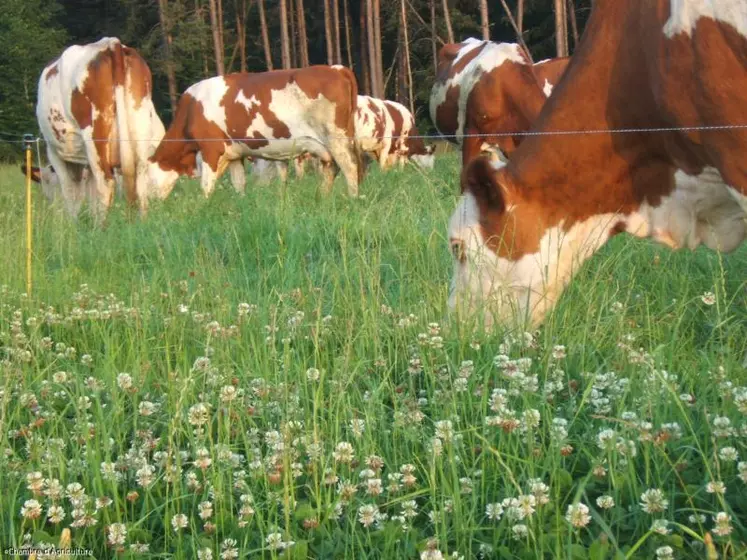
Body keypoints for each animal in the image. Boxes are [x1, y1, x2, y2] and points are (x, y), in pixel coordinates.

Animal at [30, 36, 164, 221]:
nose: (52, 208)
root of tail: (110, 43)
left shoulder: (54, 152)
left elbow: (71, 191)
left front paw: (72, 224)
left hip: (94, 134)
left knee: (105, 183)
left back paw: (101, 227)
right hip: (140, 125)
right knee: (140, 183)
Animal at [149, 65, 362, 198]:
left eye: (146, 179)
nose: (149, 208)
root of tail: (336, 68)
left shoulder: (210, 150)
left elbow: (206, 186)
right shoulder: (234, 155)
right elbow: (239, 183)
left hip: (337, 138)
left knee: (350, 168)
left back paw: (353, 198)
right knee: (332, 169)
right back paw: (324, 198)